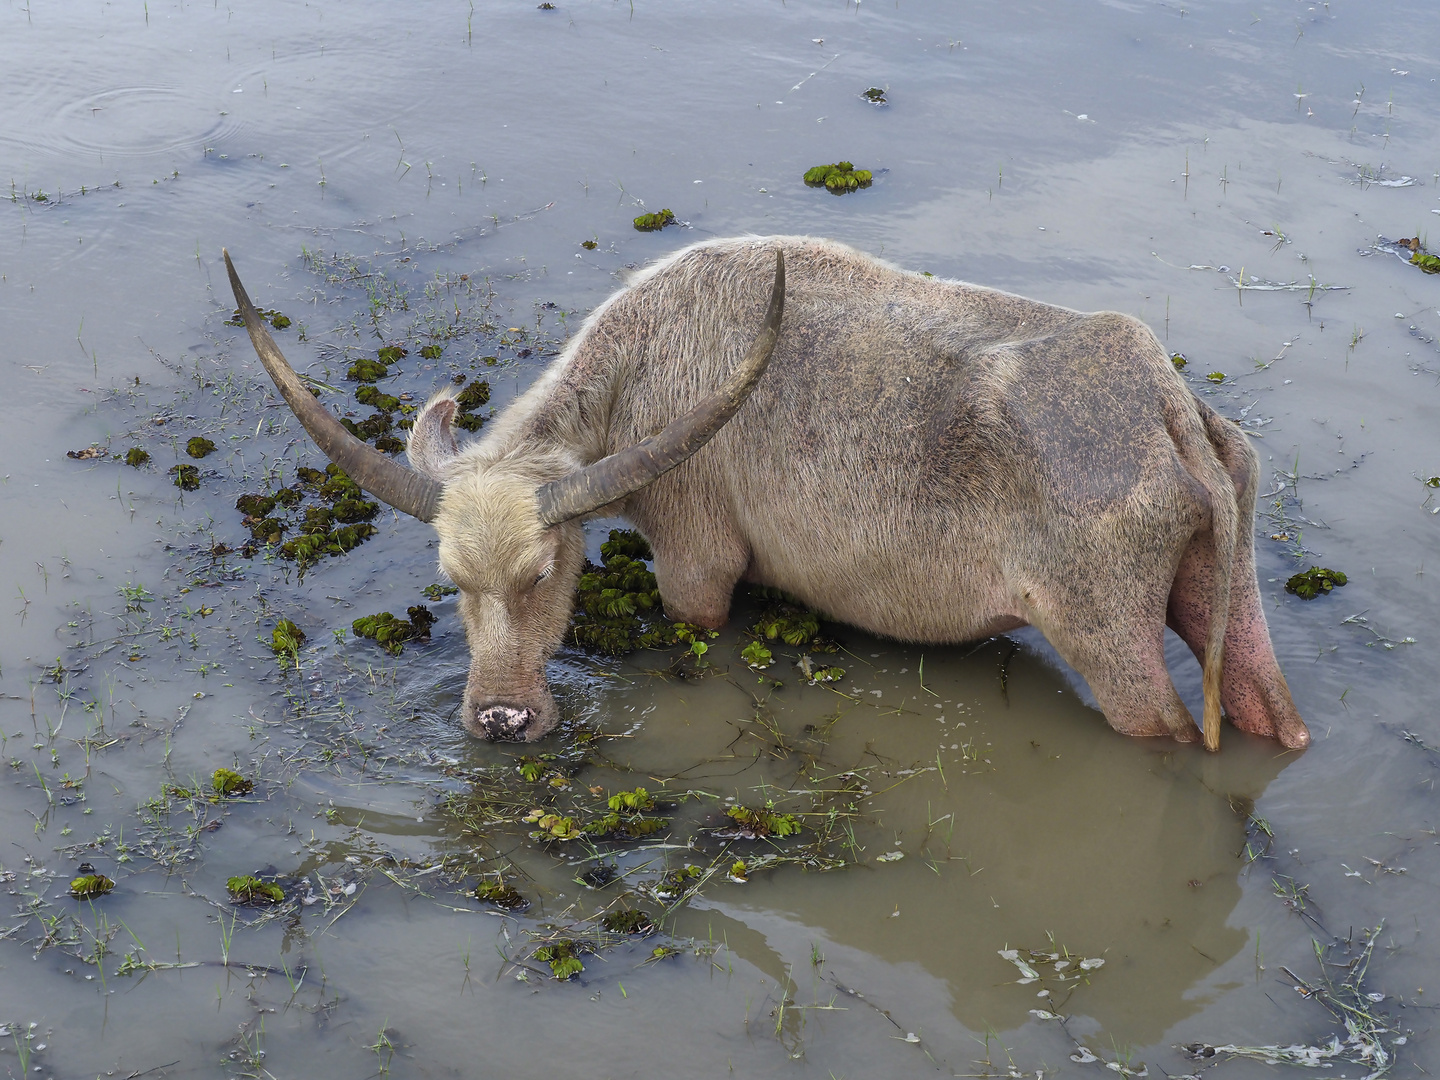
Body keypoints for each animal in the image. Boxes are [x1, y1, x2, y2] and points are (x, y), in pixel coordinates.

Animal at [221, 239, 1307, 754]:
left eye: (542, 573)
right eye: (451, 580)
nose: (501, 720)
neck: (643, 379)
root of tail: (1163, 404)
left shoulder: (698, 567)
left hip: (1113, 650)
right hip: (1226, 597)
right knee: (1269, 714)